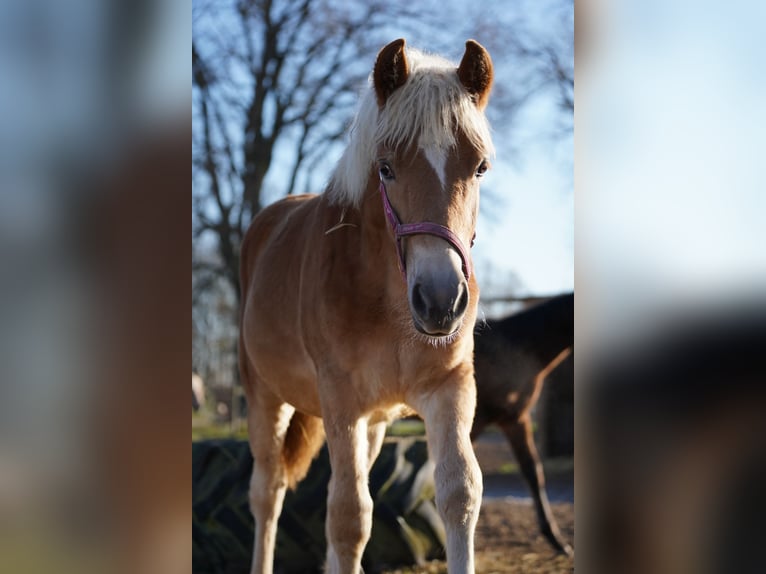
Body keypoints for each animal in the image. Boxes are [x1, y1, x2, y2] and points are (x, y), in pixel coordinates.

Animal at [237, 38, 496, 572]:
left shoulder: (449, 387)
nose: (441, 301)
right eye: (386, 168)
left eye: (480, 166)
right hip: (266, 398)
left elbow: (460, 494)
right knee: (268, 494)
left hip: (374, 423)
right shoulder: (341, 400)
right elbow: (349, 519)